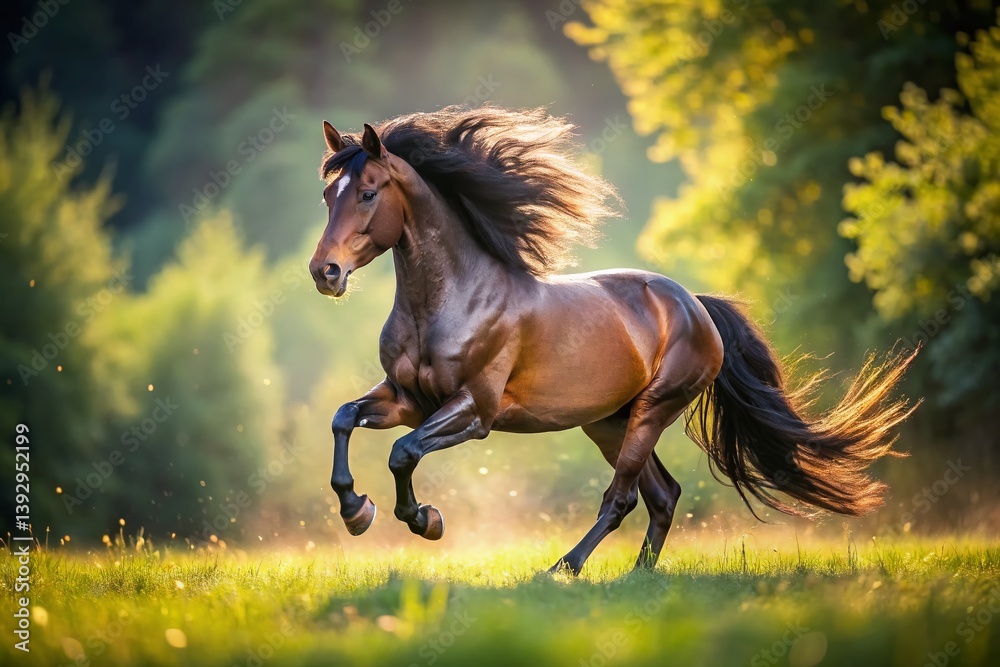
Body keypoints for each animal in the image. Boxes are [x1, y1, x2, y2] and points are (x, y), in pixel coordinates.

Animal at [308, 106, 916, 575]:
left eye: (367, 193)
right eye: (327, 195)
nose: (325, 272)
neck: (449, 301)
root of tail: (694, 304)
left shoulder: (474, 410)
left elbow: (403, 452)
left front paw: (424, 520)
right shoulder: (409, 399)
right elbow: (344, 418)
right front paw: (355, 510)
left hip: (652, 410)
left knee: (623, 497)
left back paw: (565, 567)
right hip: (608, 421)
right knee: (663, 496)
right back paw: (638, 576)